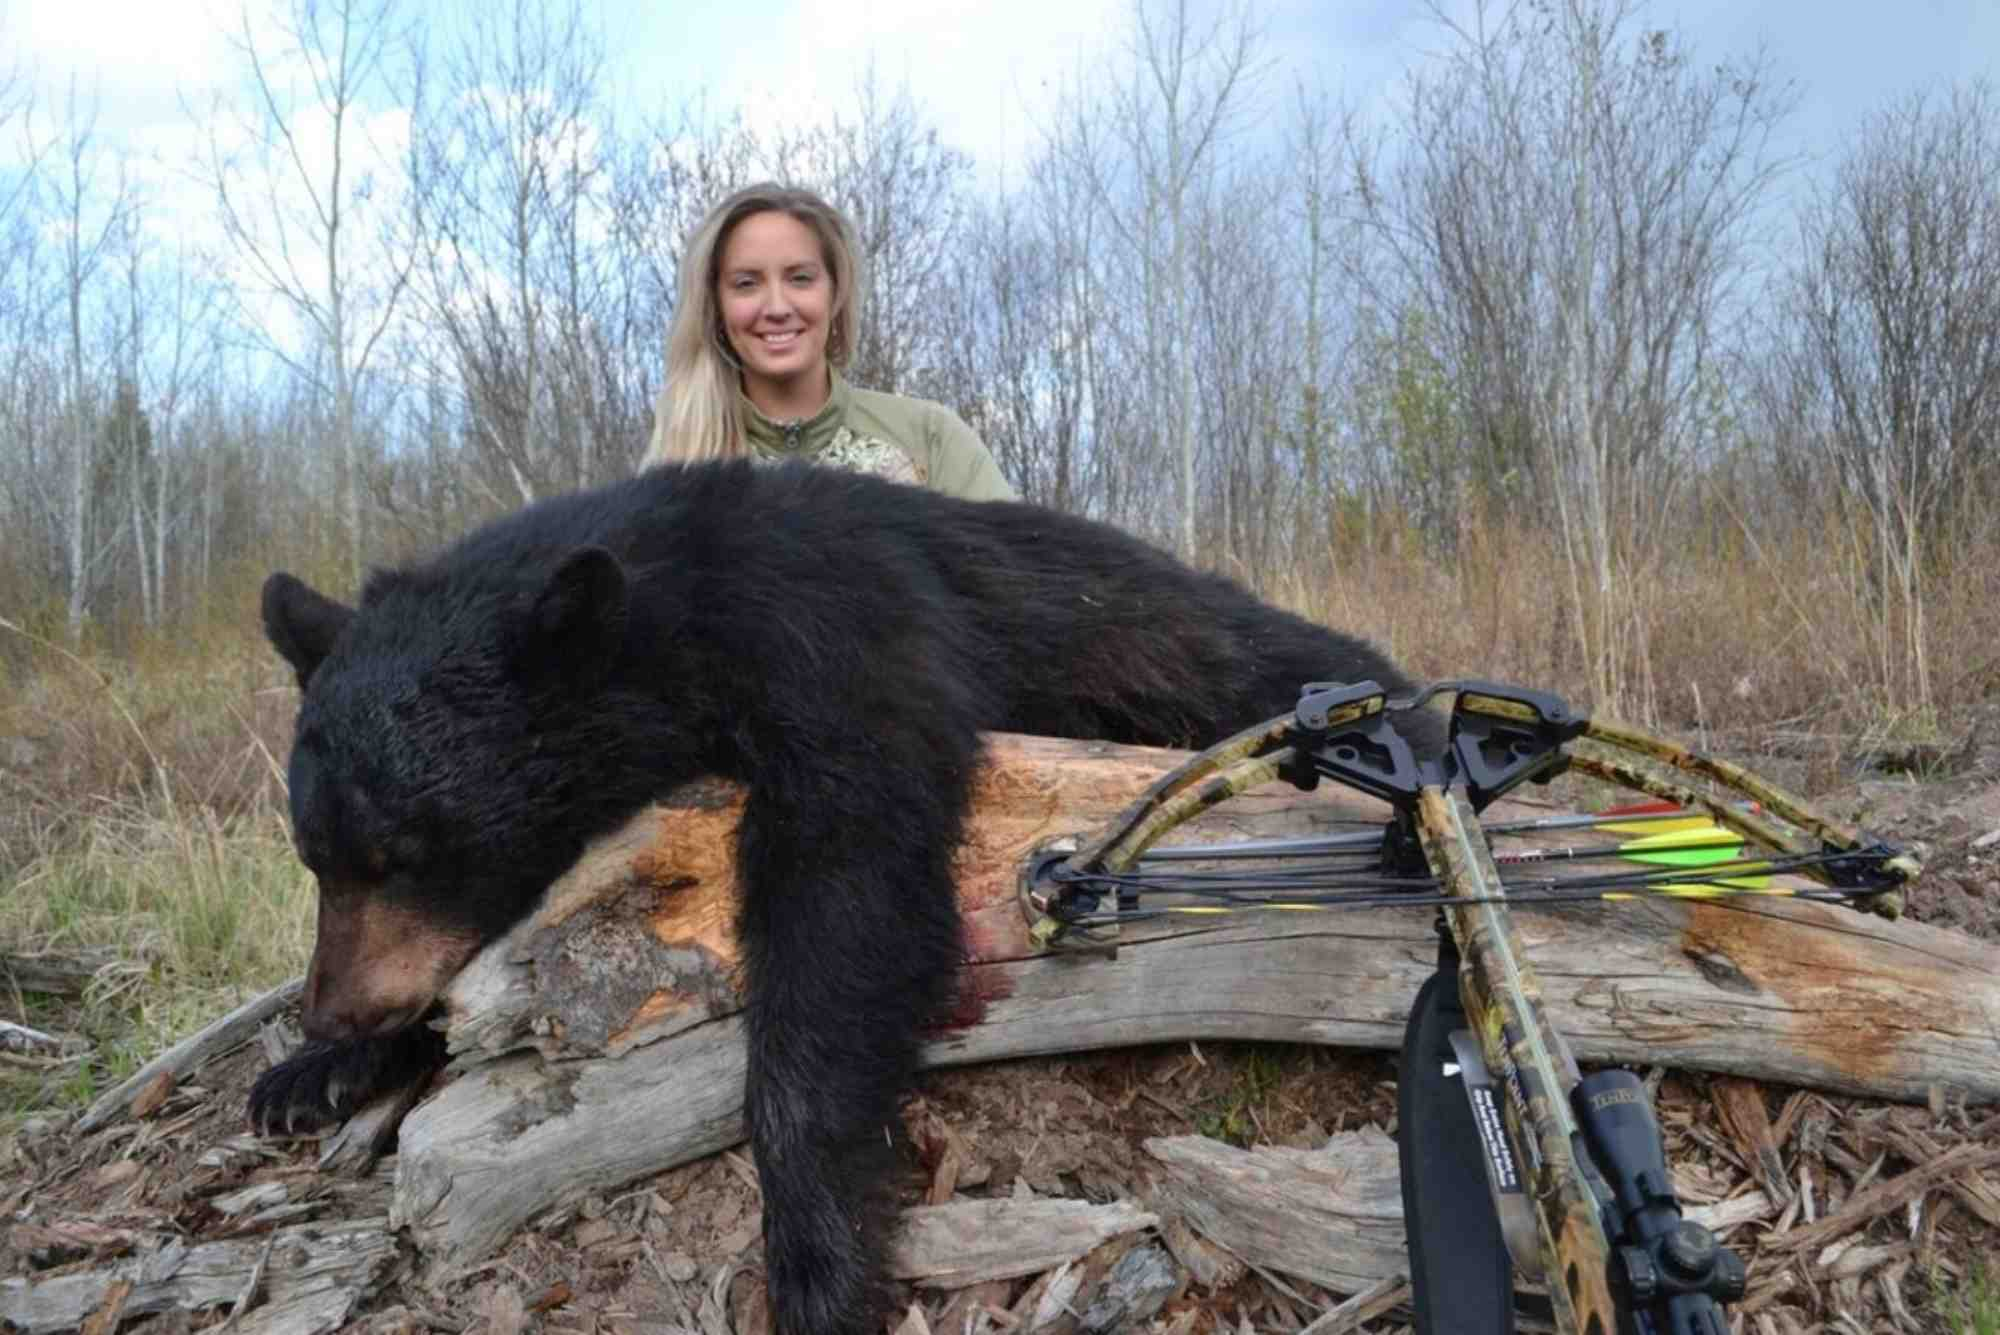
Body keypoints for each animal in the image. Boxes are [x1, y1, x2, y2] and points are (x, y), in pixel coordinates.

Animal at [251, 460, 1439, 1335]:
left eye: (406, 852)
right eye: (317, 854)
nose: (337, 1009)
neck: (675, 606)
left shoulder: (836, 639)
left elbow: (847, 889)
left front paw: (821, 1255)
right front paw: (314, 1073)